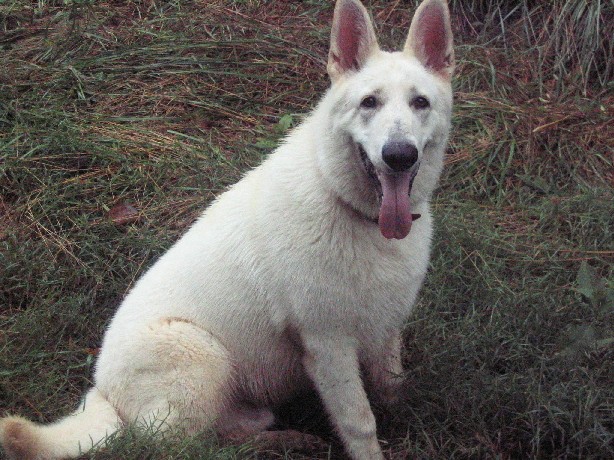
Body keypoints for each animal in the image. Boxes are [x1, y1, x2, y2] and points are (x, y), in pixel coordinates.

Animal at [0, 0, 452, 456]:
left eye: (420, 103)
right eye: (369, 102)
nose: (399, 155)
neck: (347, 204)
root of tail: (102, 394)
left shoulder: (386, 327)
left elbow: (391, 390)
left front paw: (406, 422)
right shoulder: (329, 346)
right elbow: (360, 421)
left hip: (242, 399)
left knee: (228, 435)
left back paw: (285, 439)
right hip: (203, 354)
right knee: (184, 447)